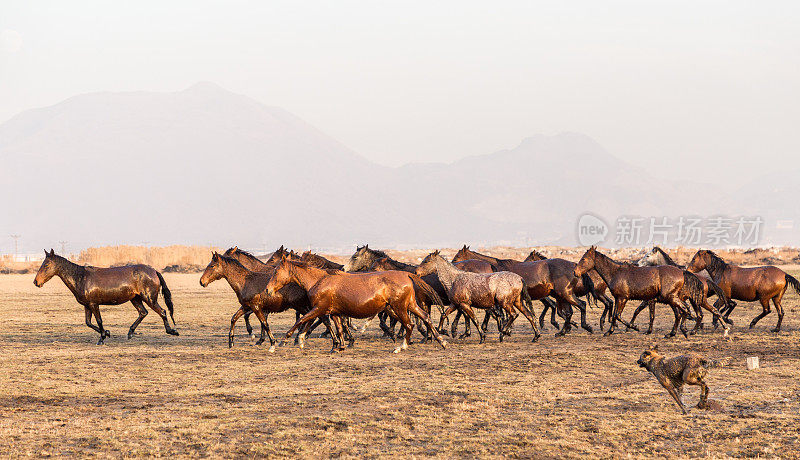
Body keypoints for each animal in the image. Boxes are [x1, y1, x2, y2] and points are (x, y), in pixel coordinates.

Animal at [34, 250, 177, 344]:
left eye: (46, 265)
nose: (36, 282)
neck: (81, 278)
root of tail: (154, 271)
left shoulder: (94, 304)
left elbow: (99, 321)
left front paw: (102, 338)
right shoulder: (87, 305)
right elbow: (88, 323)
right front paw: (107, 333)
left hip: (149, 298)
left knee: (162, 311)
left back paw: (172, 331)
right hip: (135, 298)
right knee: (143, 312)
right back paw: (130, 333)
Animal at [203, 252, 338, 348]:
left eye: (212, 265)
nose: (201, 281)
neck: (245, 282)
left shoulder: (256, 307)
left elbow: (264, 323)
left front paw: (272, 342)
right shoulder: (246, 306)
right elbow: (234, 318)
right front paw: (231, 341)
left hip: (302, 306)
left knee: (318, 319)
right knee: (317, 319)